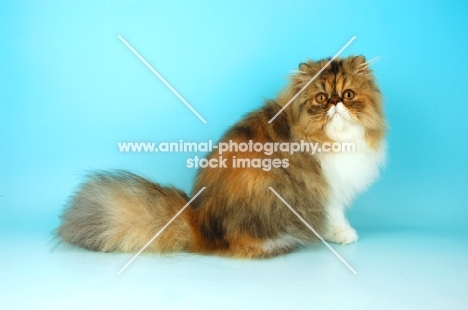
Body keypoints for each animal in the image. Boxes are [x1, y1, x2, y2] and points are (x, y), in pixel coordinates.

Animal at [56, 55, 386, 256]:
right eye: (321, 98)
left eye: (347, 95)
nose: (335, 103)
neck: (338, 138)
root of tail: (199, 221)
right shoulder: (328, 189)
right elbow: (336, 216)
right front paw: (344, 234)